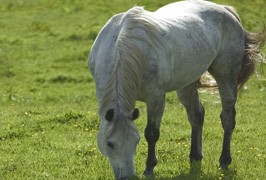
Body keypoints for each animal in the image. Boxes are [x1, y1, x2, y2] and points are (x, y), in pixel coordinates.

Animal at [88, 0, 264, 179]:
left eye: (136, 141)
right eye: (110, 143)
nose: (129, 176)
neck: (123, 47)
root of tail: (225, 9)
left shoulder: (156, 98)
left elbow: (151, 133)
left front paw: (149, 168)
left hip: (226, 76)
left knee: (227, 117)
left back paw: (224, 160)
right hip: (187, 83)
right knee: (196, 115)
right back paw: (195, 157)